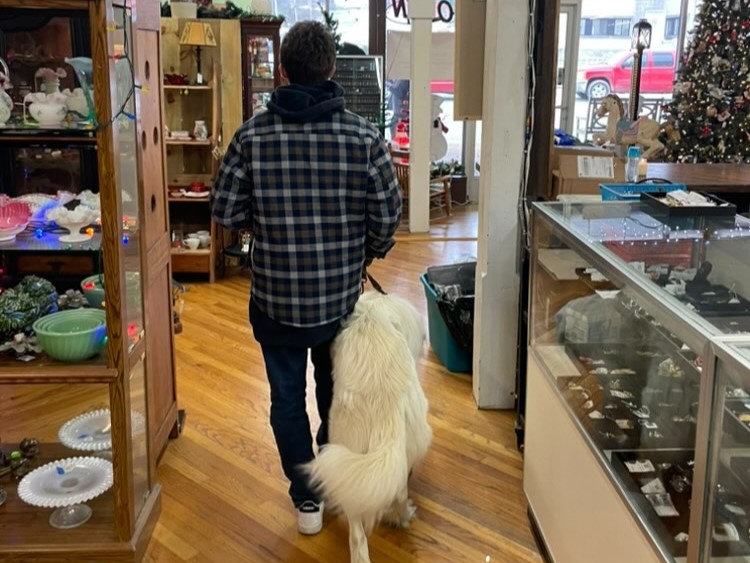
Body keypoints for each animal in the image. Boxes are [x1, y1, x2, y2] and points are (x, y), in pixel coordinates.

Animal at [302, 294, 432, 560]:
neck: (374, 308)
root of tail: (383, 412)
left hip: (347, 460)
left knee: (357, 534)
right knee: (399, 492)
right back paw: (403, 517)